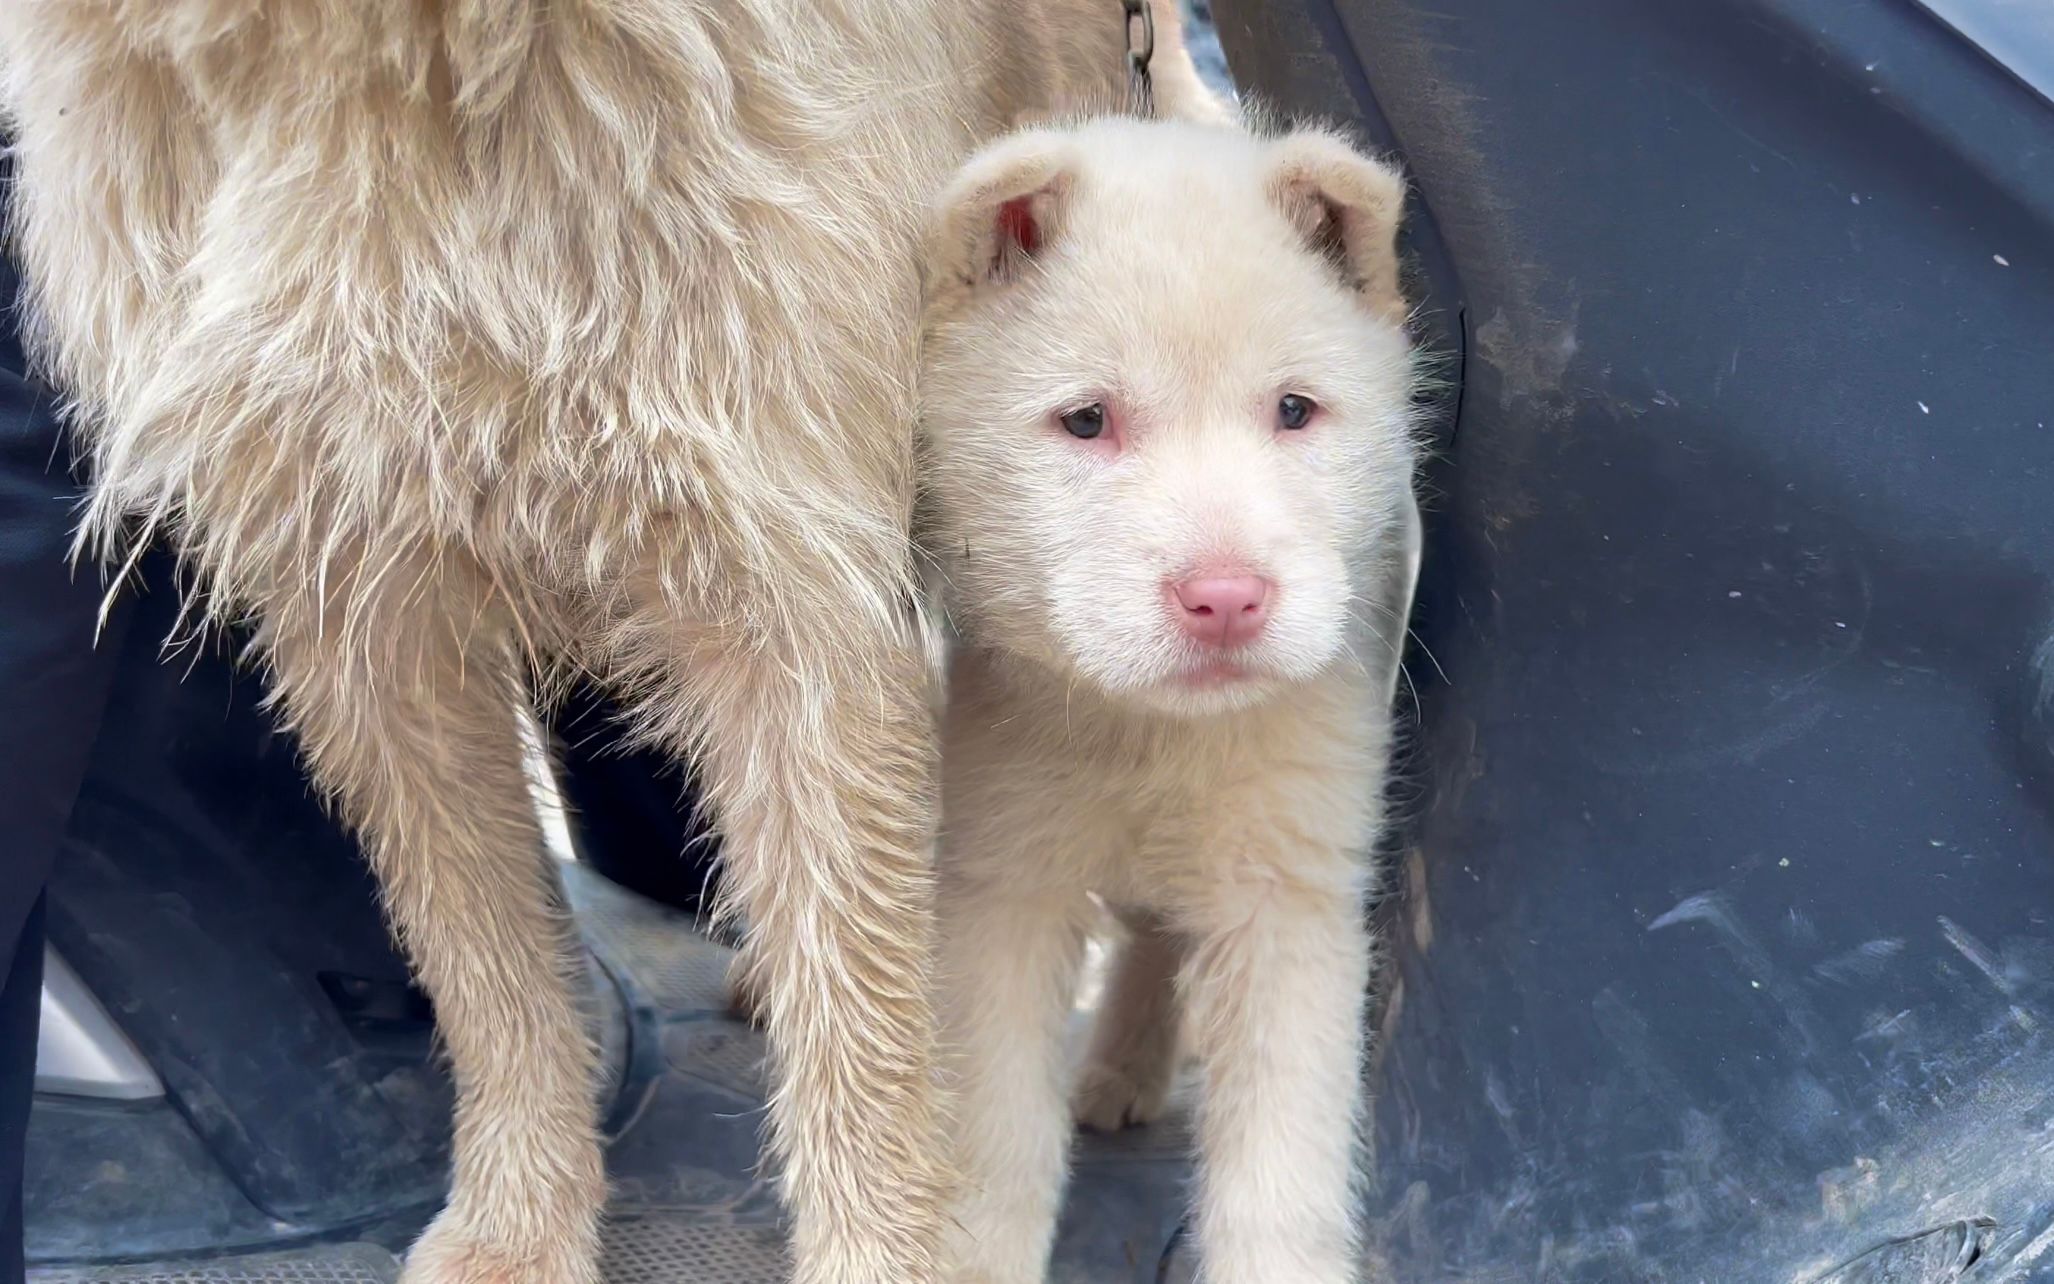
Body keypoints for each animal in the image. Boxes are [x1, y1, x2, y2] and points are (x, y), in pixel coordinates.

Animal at [0, 5, 1215, 1273]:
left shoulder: (794, 576)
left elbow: (858, 1004)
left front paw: (881, 1253)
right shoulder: (362, 602)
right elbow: (485, 965)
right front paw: (519, 1225)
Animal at [924, 120, 1421, 1281]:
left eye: (1294, 411)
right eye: (1086, 421)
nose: (1226, 597)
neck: (1154, 739)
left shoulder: (1291, 898)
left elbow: (1282, 1172)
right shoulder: (1005, 885)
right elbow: (998, 1136)